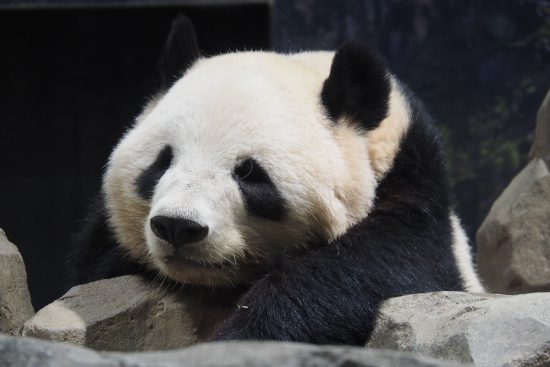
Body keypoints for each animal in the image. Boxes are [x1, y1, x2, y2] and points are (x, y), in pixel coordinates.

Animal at [68, 15, 484, 346]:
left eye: (250, 174)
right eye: (162, 161)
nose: (177, 226)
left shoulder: (416, 198)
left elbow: (373, 266)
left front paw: (246, 335)